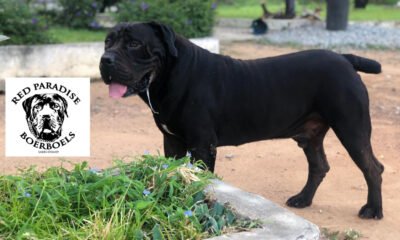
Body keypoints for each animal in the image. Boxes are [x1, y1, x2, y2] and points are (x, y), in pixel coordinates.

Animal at [100, 22, 384, 219]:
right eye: (107, 42)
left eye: (134, 44)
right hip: (311, 135)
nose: (105, 59)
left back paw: (372, 210)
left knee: (372, 168)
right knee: (318, 167)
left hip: (351, 128)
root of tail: (345, 58)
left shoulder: (203, 145)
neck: (169, 76)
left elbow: (201, 183)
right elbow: (174, 176)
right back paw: (303, 199)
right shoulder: (172, 142)